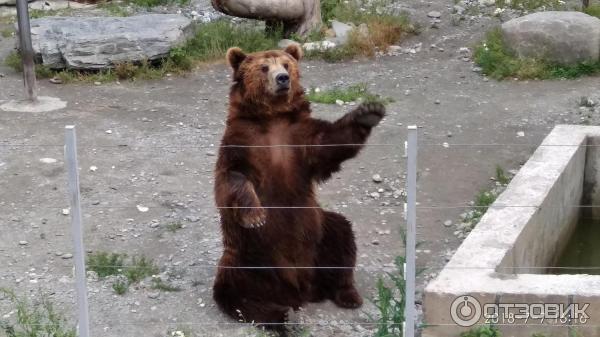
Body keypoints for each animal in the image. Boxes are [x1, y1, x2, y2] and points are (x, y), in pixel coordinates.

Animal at [213, 43, 386, 330]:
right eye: (264, 67)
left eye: (286, 64)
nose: (283, 79)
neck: (272, 118)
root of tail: (299, 290)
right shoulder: (241, 142)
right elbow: (232, 178)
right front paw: (256, 216)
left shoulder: (300, 138)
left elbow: (330, 143)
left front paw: (368, 112)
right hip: (244, 257)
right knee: (236, 294)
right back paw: (283, 317)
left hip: (318, 235)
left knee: (342, 237)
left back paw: (348, 294)